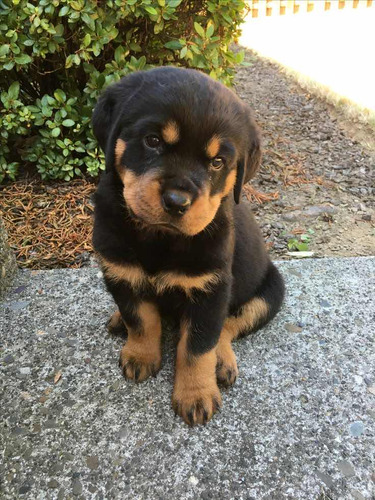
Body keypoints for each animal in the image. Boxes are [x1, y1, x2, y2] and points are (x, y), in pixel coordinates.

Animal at [92, 67, 284, 426]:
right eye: (152, 141)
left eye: (218, 162)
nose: (176, 201)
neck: (160, 238)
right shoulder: (120, 271)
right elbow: (140, 318)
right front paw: (140, 355)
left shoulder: (210, 289)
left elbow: (198, 345)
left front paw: (196, 395)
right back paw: (117, 319)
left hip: (272, 292)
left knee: (229, 326)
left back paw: (222, 361)